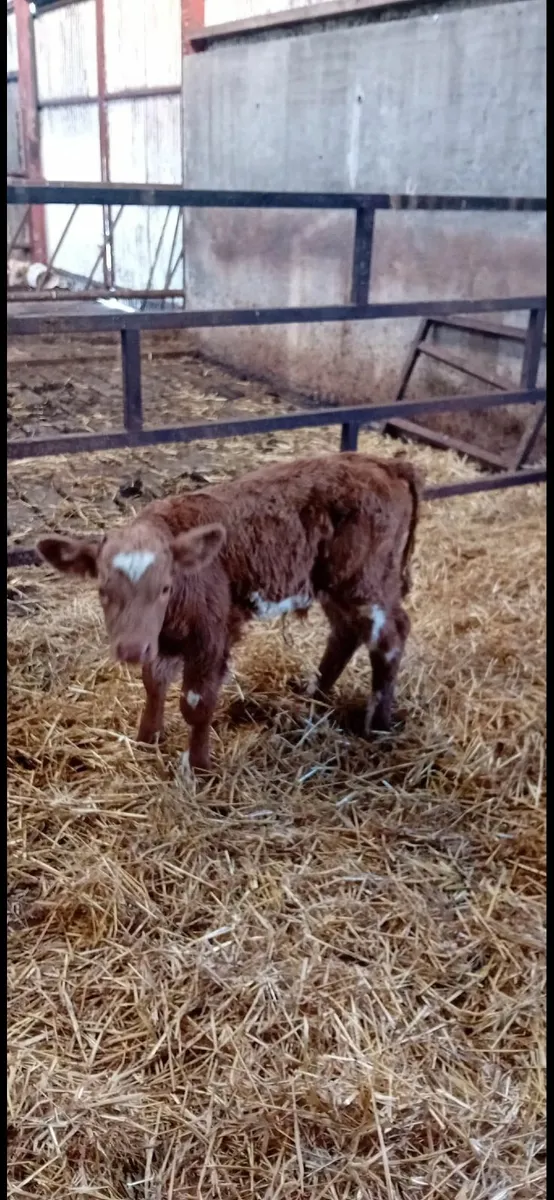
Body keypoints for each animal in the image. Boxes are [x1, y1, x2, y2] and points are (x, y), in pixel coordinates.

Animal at [36, 452, 422, 773]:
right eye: (103, 590)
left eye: (164, 588)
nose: (130, 649)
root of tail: (384, 463)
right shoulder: (161, 639)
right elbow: (153, 683)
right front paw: (147, 739)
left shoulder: (211, 633)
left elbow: (196, 703)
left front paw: (199, 766)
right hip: (333, 584)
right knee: (346, 632)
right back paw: (314, 695)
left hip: (366, 580)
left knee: (391, 636)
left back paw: (377, 724)